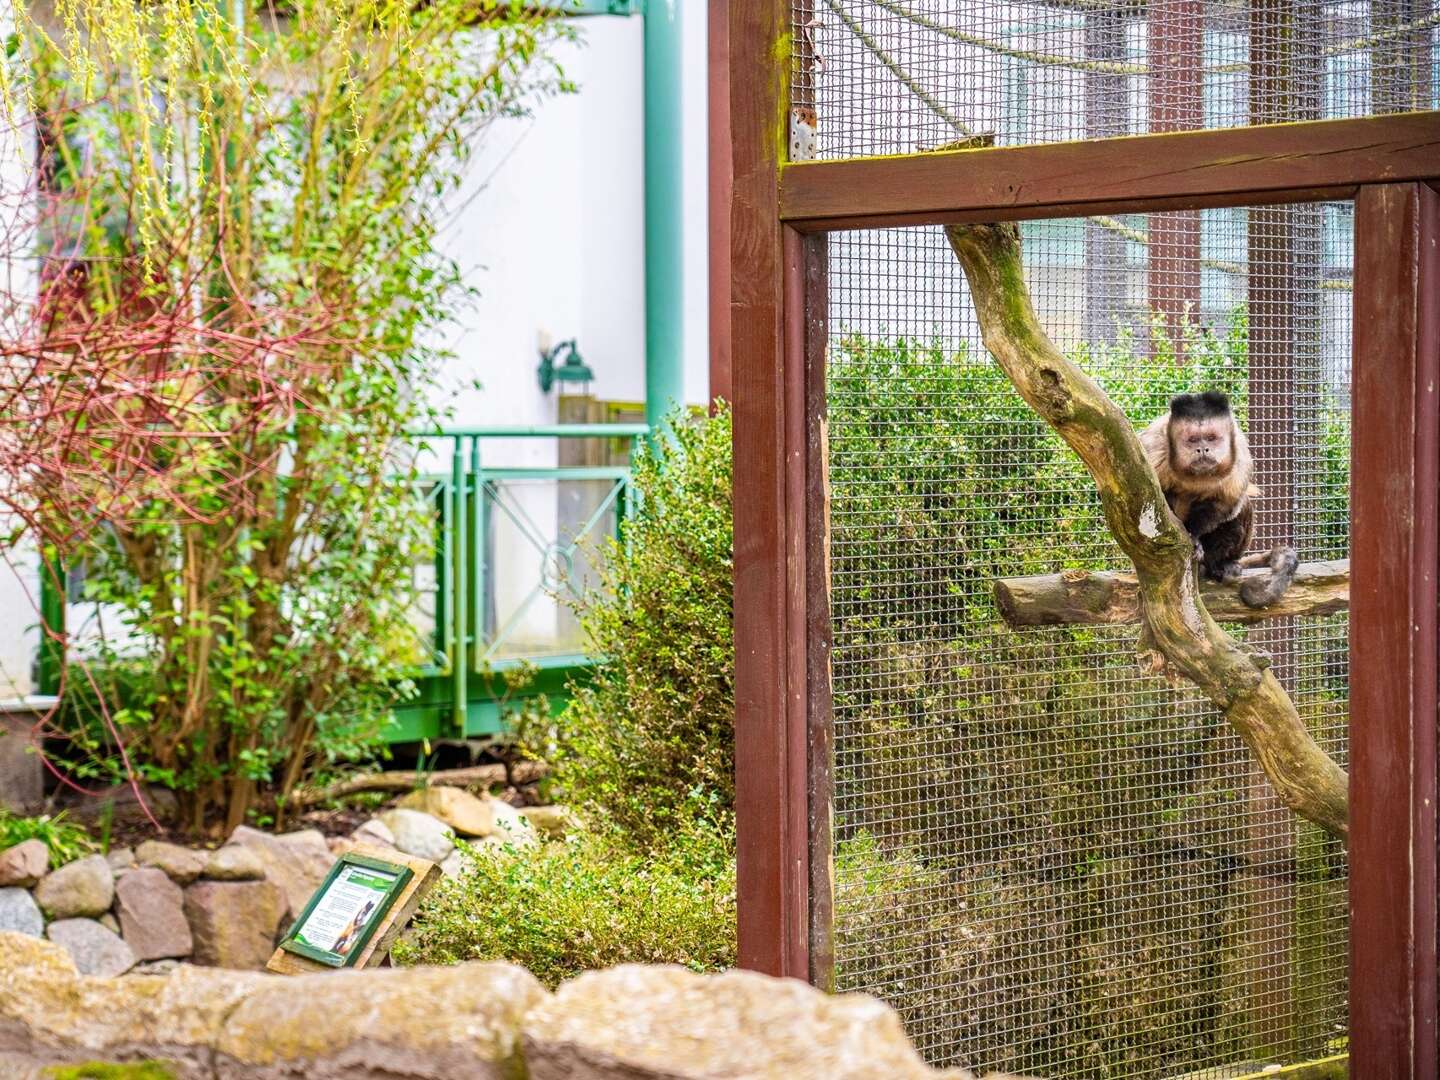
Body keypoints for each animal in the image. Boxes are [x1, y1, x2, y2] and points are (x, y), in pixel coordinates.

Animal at [1140, 391, 1301, 610]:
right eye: (1192, 440)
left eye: (1211, 438)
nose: (1203, 449)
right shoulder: (1152, 448)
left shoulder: (1240, 455)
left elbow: (1224, 507)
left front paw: (1194, 537)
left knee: (1243, 507)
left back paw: (1218, 565)